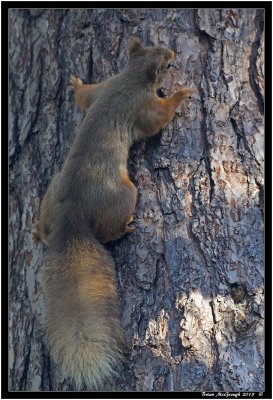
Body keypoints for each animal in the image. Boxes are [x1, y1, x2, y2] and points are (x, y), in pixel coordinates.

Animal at [34, 36, 194, 388]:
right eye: (166, 64)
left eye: (152, 46)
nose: (173, 52)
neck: (128, 78)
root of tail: (72, 217)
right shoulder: (142, 106)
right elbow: (159, 118)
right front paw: (183, 94)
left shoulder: (103, 87)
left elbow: (84, 97)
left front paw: (76, 83)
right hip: (123, 194)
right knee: (110, 230)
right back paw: (127, 226)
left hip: (50, 194)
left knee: (46, 225)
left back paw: (38, 231)